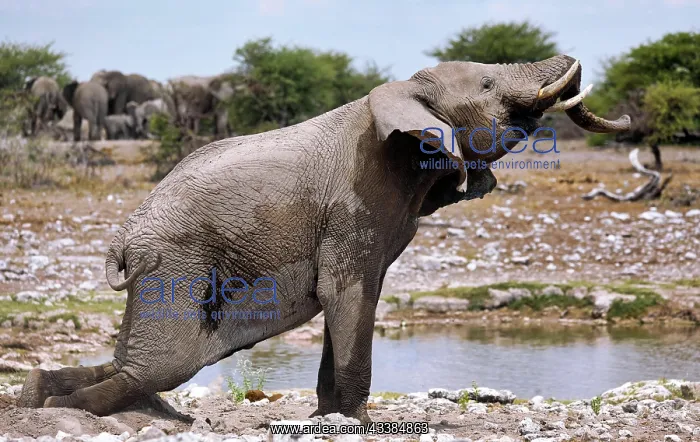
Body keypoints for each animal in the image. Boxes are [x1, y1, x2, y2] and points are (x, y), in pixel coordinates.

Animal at [19, 54, 630, 421]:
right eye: (487, 85)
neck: (400, 92)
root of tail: (122, 238)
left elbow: (357, 299)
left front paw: (327, 418)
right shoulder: (355, 201)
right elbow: (348, 296)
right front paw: (357, 422)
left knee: (135, 363)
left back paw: (41, 395)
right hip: (175, 264)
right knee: (161, 366)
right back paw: (69, 408)